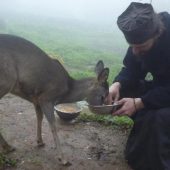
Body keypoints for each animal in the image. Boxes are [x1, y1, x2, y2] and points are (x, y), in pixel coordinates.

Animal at [0, 33, 109, 165]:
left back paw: (7, 147)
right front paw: (63, 158)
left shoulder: (36, 99)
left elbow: (39, 118)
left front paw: (40, 141)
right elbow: (53, 125)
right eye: (103, 95)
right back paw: (7, 147)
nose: (102, 109)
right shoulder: (46, 98)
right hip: (6, 80)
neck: (66, 90)